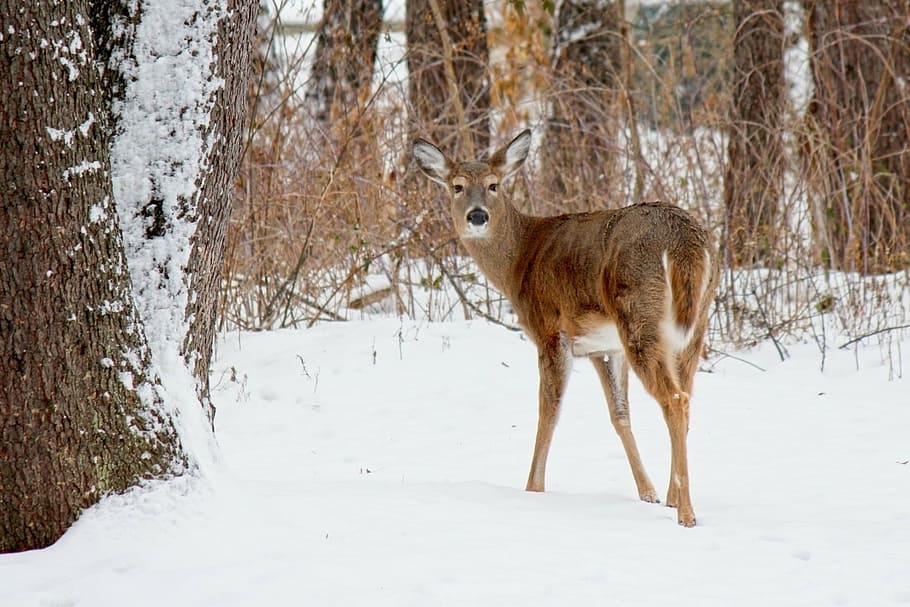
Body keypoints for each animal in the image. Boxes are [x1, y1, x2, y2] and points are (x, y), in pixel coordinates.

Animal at [414, 129, 720, 528]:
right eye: (457, 186)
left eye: (494, 185)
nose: (477, 215)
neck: (519, 261)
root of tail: (685, 243)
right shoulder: (601, 346)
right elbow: (619, 414)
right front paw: (648, 494)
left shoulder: (549, 328)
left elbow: (549, 410)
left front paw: (532, 488)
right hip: (694, 326)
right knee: (685, 395)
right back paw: (673, 498)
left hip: (638, 312)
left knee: (676, 398)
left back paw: (686, 514)